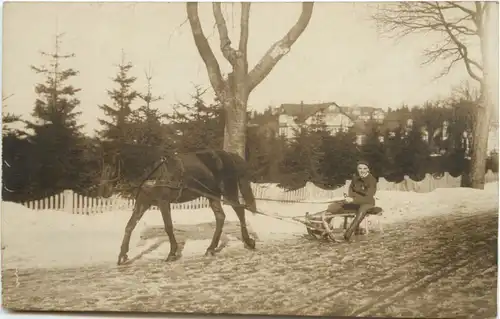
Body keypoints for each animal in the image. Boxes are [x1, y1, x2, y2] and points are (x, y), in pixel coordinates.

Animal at [99, 149, 260, 264]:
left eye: (112, 165)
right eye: (103, 164)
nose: (104, 190)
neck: (152, 171)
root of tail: (229, 156)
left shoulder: (163, 202)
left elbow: (168, 226)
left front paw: (172, 253)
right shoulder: (143, 202)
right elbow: (129, 226)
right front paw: (122, 256)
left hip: (228, 191)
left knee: (240, 211)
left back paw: (248, 241)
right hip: (212, 195)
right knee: (220, 217)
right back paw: (211, 249)